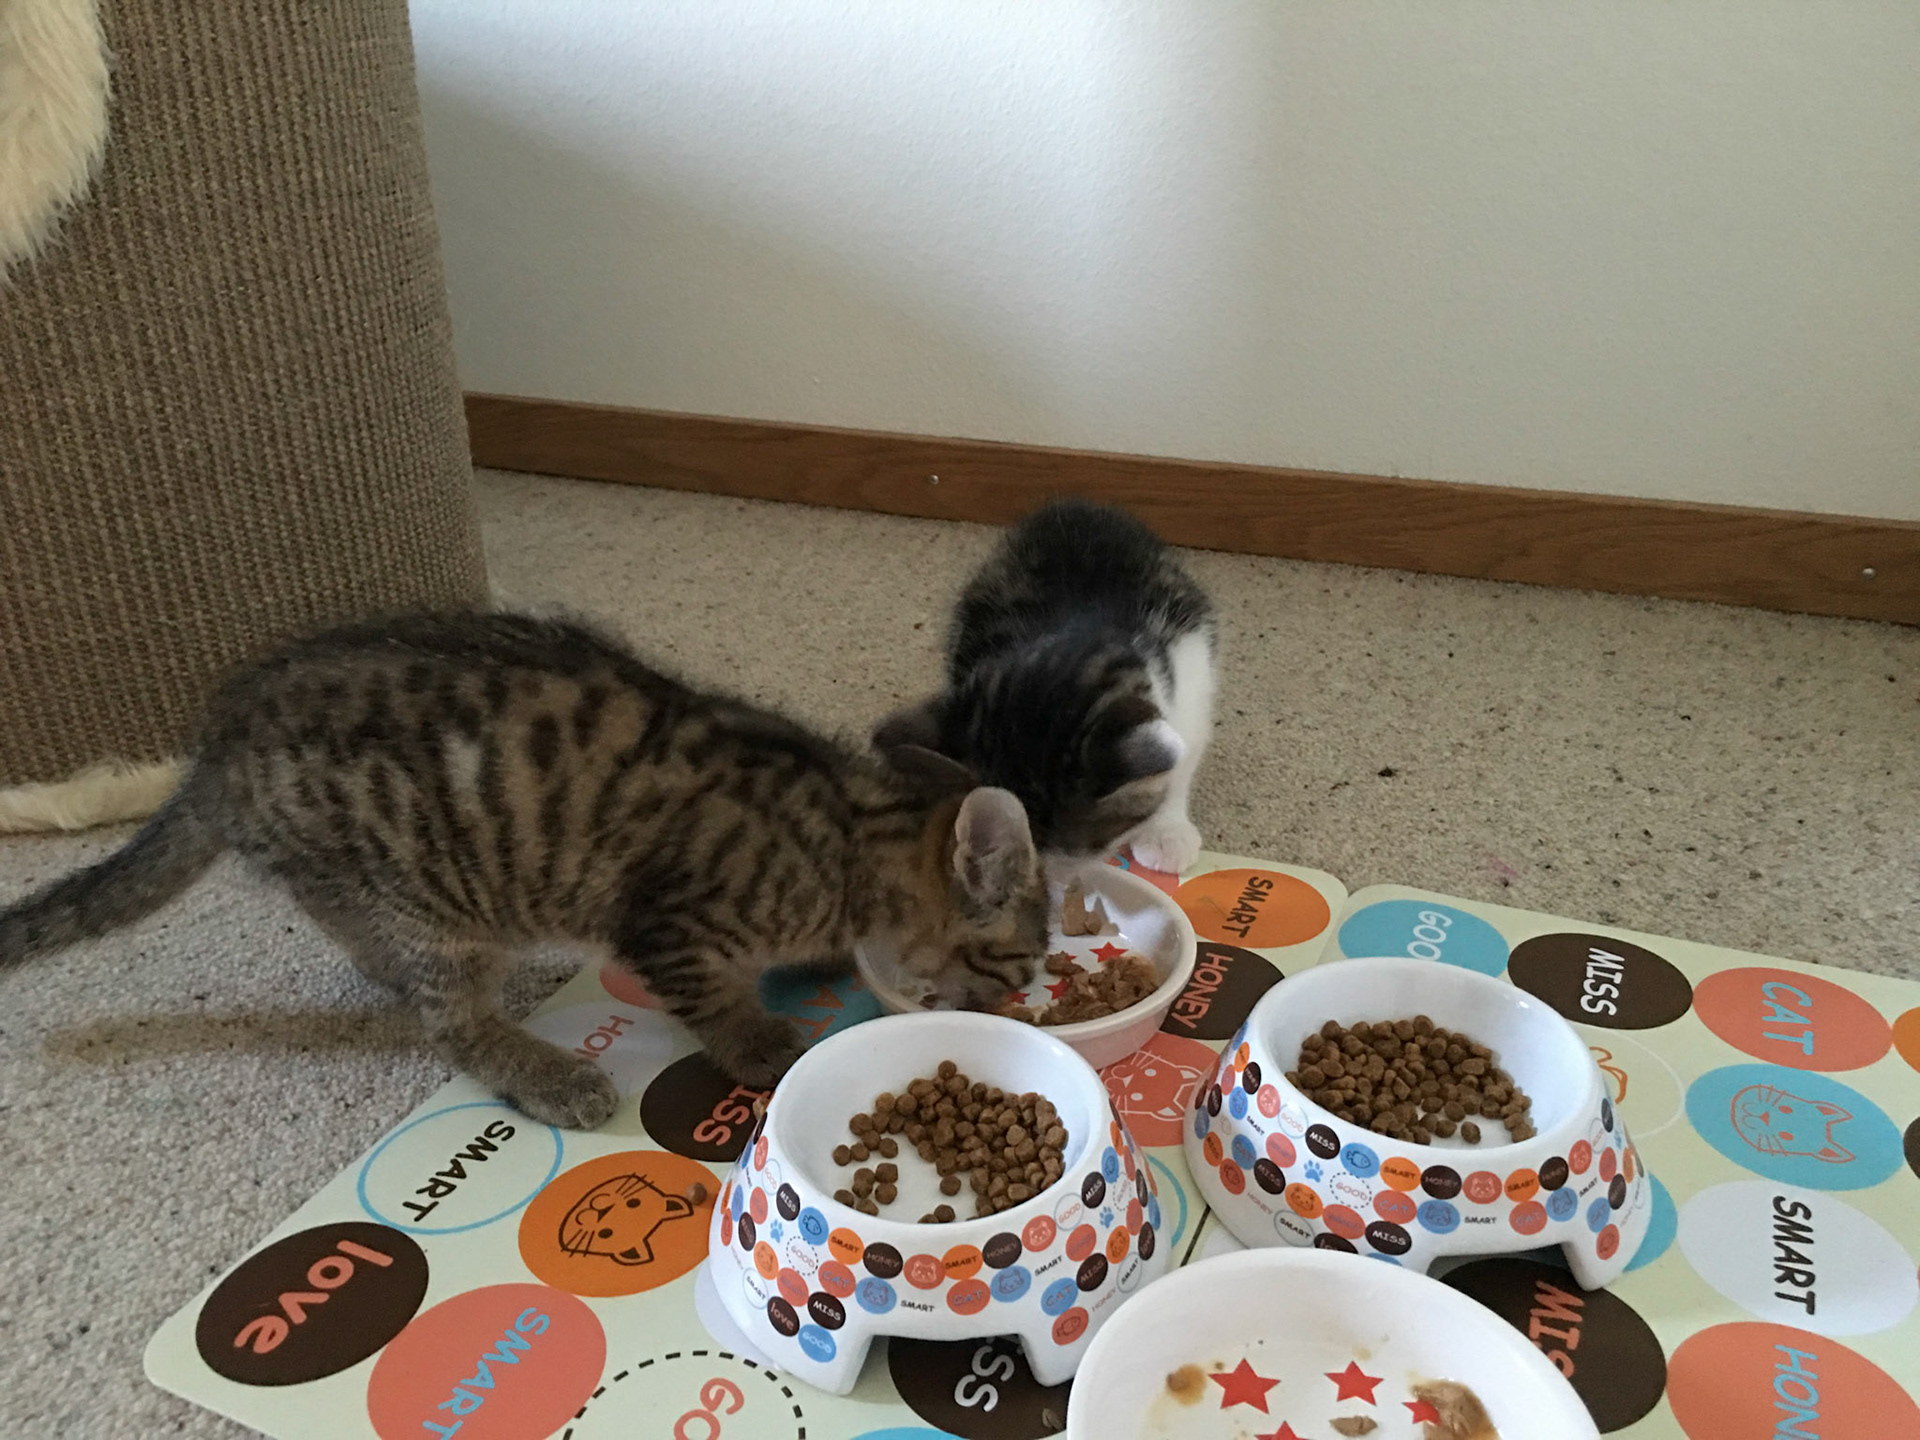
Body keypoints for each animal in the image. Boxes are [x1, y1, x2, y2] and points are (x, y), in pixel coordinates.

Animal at [0, 612, 1048, 1129]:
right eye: (1022, 958)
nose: (1021, 1001)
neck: (846, 829)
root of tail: (216, 751)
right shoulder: (668, 926)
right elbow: (714, 1000)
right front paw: (761, 1042)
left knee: (337, 912)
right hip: (435, 893)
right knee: (449, 1024)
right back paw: (538, 1069)